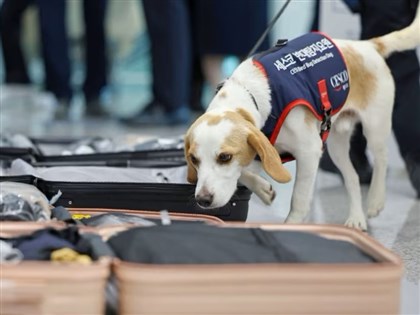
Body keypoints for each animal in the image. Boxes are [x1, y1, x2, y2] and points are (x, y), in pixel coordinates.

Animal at [185, 6, 420, 231]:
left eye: (225, 157)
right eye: (194, 159)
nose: (202, 200)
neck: (250, 93)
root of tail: (366, 46)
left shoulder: (309, 152)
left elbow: (299, 198)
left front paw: (292, 225)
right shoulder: (262, 150)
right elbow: (243, 173)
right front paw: (263, 189)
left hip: (375, 127)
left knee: (382, 159)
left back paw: (375, 201)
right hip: (335, 144)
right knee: (352, 178)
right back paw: (356, 218)